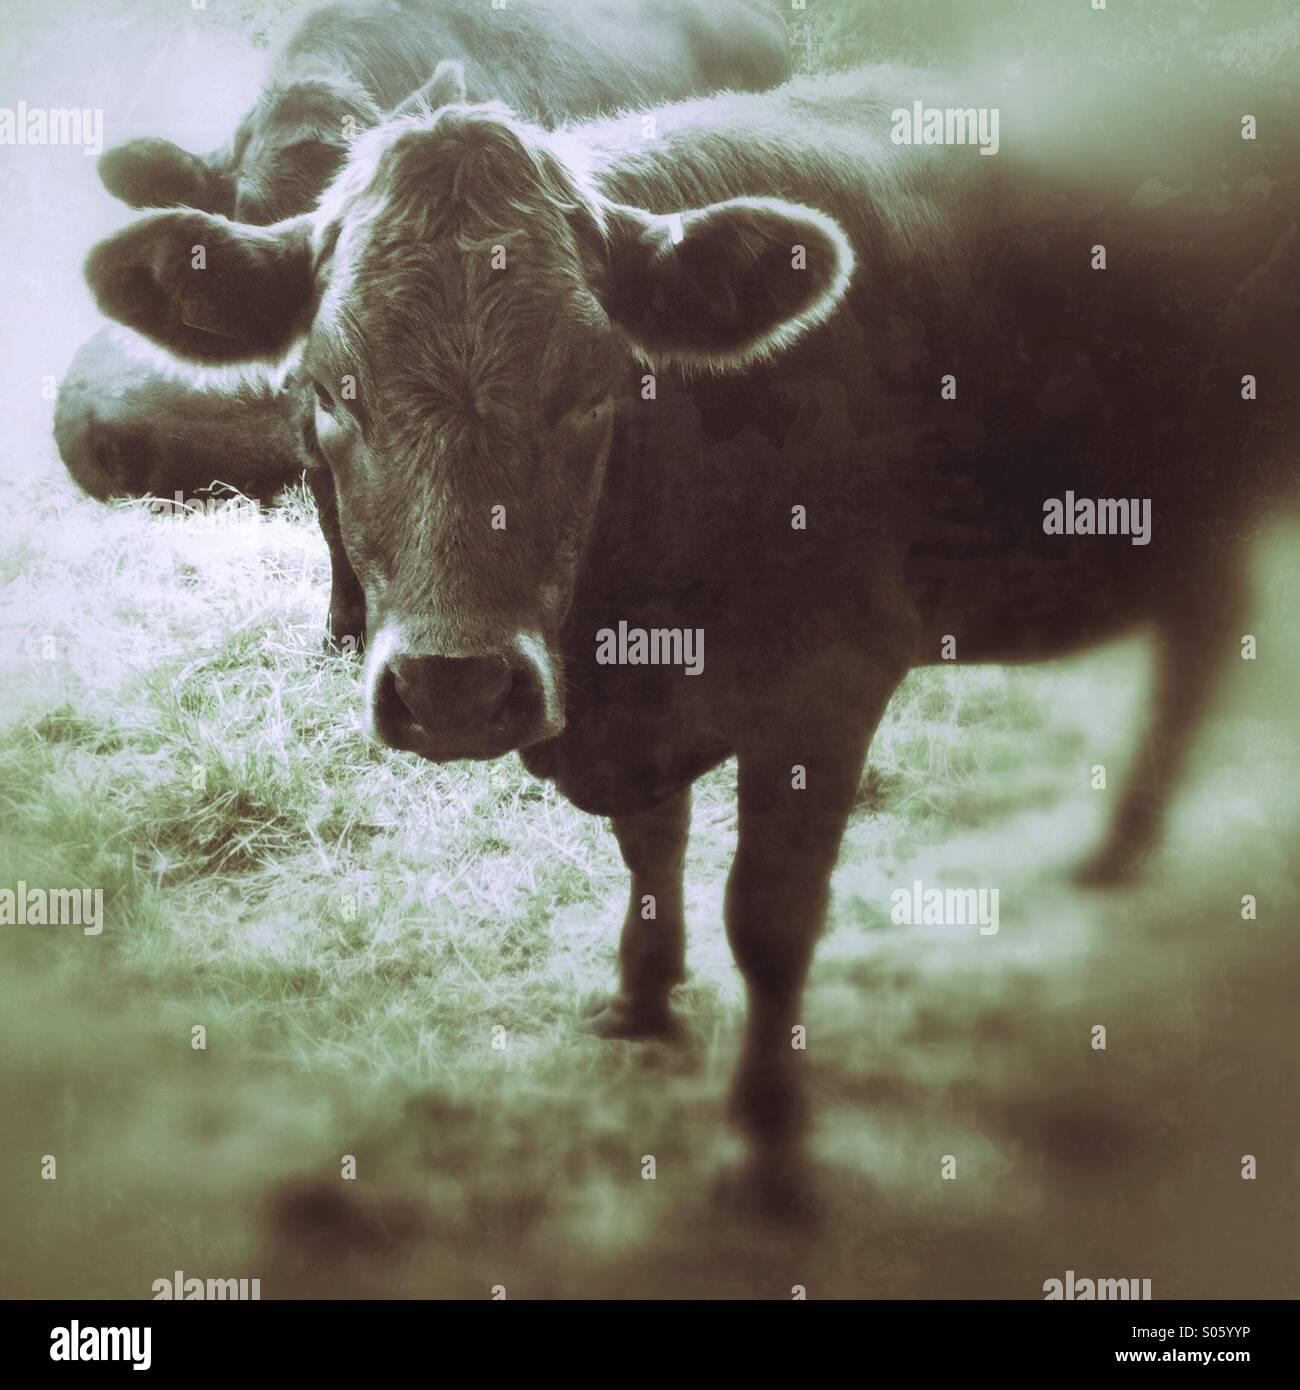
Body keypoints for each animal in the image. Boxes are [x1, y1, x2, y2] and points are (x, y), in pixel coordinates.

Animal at [83, 63, 1300, 1211]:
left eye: (597, 385)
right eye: (331, 388)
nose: (454, 688)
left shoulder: (827, 687)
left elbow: (768, 920)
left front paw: (766, 1144)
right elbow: (651, 845)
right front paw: (641, 997)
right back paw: (1120, 848)